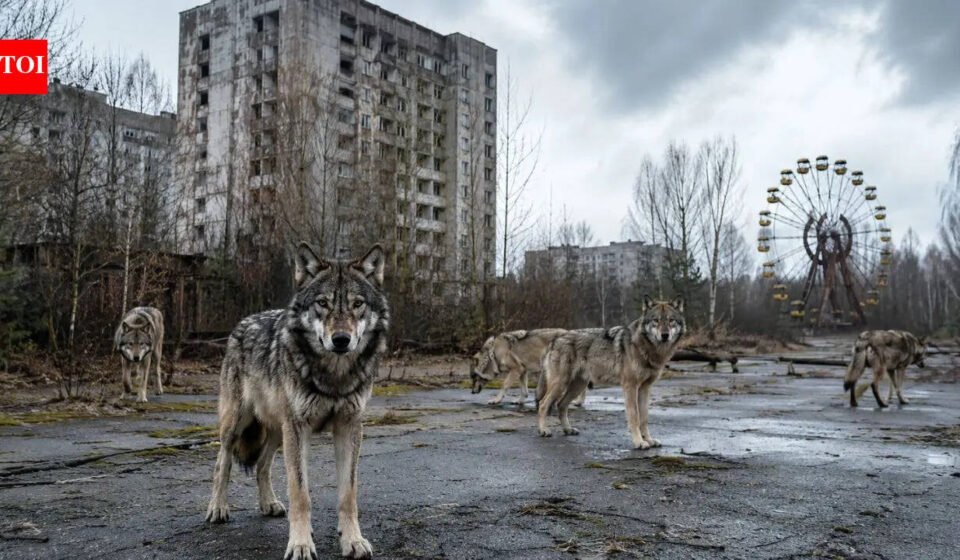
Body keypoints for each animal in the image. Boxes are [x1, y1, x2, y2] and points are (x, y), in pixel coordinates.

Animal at [205, 243, 388, 560]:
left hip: (279, 431)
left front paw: (352, 540)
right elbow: (300, 494)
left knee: (262, 465)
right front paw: (301, 545)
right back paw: (218, 507)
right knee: (222, 461)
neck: (334, 375)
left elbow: (348, 494)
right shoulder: (298, 428)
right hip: (239, 423)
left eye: (357, 304)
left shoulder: (349, 427)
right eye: (323, 303)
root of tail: (243, 322)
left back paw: (269, 503)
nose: (341, 339)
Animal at [537, 296, 684, 449]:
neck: (645, 347)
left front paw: (649, 440)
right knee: (543, 404)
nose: (665, 335)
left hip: (577, 387)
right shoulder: (630, 387)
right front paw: (639, 442)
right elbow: (635, 416)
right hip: (561, 384)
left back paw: (568, 429)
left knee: (561, 405)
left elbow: (644, 418)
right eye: (656, 320)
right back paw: (544, 430)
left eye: (671, 320)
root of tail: (555, 339)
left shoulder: (645, 388)